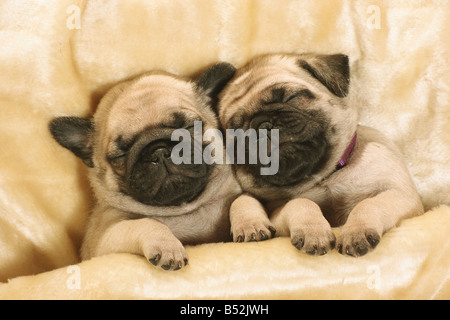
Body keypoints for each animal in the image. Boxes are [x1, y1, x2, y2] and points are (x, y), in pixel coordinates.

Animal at [49, 65, 241, 270]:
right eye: (120, 154)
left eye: (189, 126)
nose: (159, 151)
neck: (184, 208)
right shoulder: (105, 240)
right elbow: (146, 223)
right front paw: (168, 247)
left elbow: (240, 200)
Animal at [217, 52, 422, 258]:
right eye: (236, 133)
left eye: (291, 96)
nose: (262, 125)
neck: (324, 176)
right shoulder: (277, 213)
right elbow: (299, 202)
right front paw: (313, 231)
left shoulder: (401, 196)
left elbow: (369, 204)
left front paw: (356, 231)